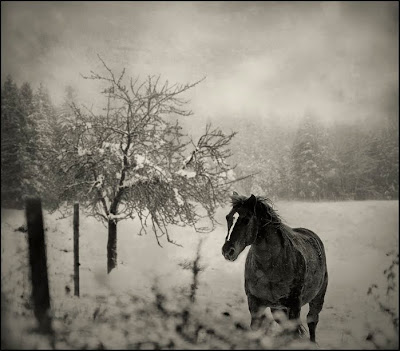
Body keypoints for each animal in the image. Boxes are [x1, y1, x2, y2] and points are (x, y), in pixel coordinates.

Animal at [222, 192, 328, 344]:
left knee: (312, 321)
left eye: (246, 219)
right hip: (278, 309)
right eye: (228, 218)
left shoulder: (294, 305)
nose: (227, 251)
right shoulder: (255, 304)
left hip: (317, 298)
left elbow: (294, 332)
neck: (269, 269)